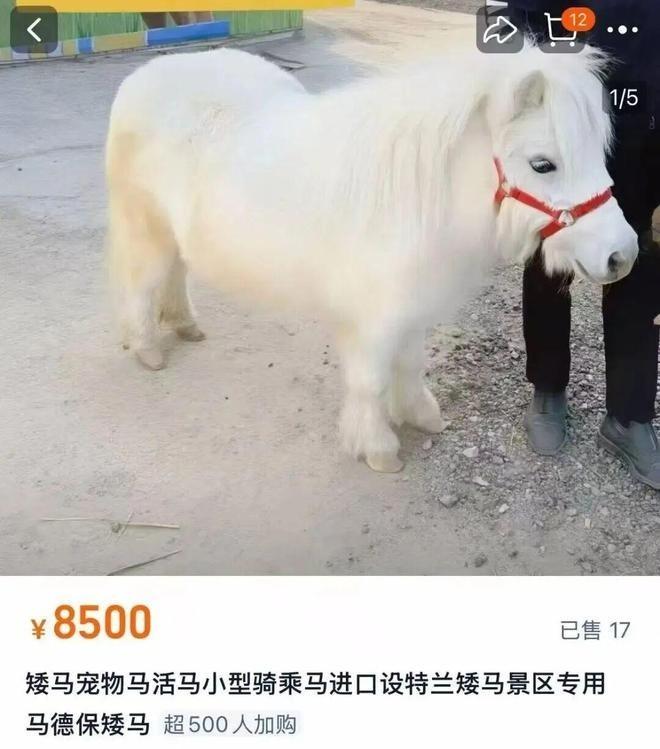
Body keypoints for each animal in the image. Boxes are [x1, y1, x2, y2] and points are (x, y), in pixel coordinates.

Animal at [106, 43, 638, 473]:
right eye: (543, 164)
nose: (623, 254)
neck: (418, 194)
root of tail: (144, 77)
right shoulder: (372, 318)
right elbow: (370, 380)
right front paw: (378, 447)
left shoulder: (411, 308)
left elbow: (410, 364)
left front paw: (421, 416)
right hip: (146, 230)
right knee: (141, 287)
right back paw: (148, 349)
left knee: (174, 275)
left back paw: (185, 325)